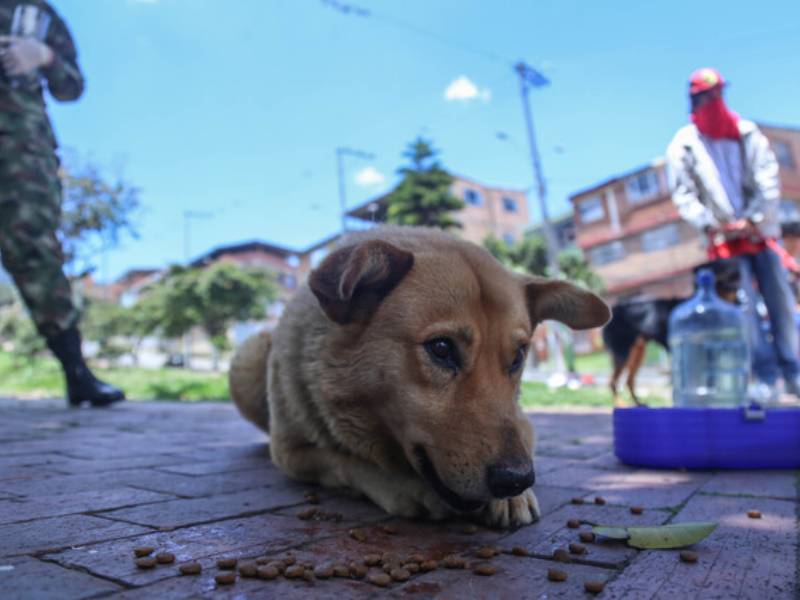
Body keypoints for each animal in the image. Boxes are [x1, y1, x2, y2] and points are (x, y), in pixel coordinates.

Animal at [228, 227, 608, 528]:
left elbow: (523, 434)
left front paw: (514, 498)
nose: (515, 480)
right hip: (249, 359)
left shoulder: (523, 423)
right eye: (441, 348)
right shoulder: (291, 452)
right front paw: (405, 487)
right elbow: (346, 462)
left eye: (518, 357)